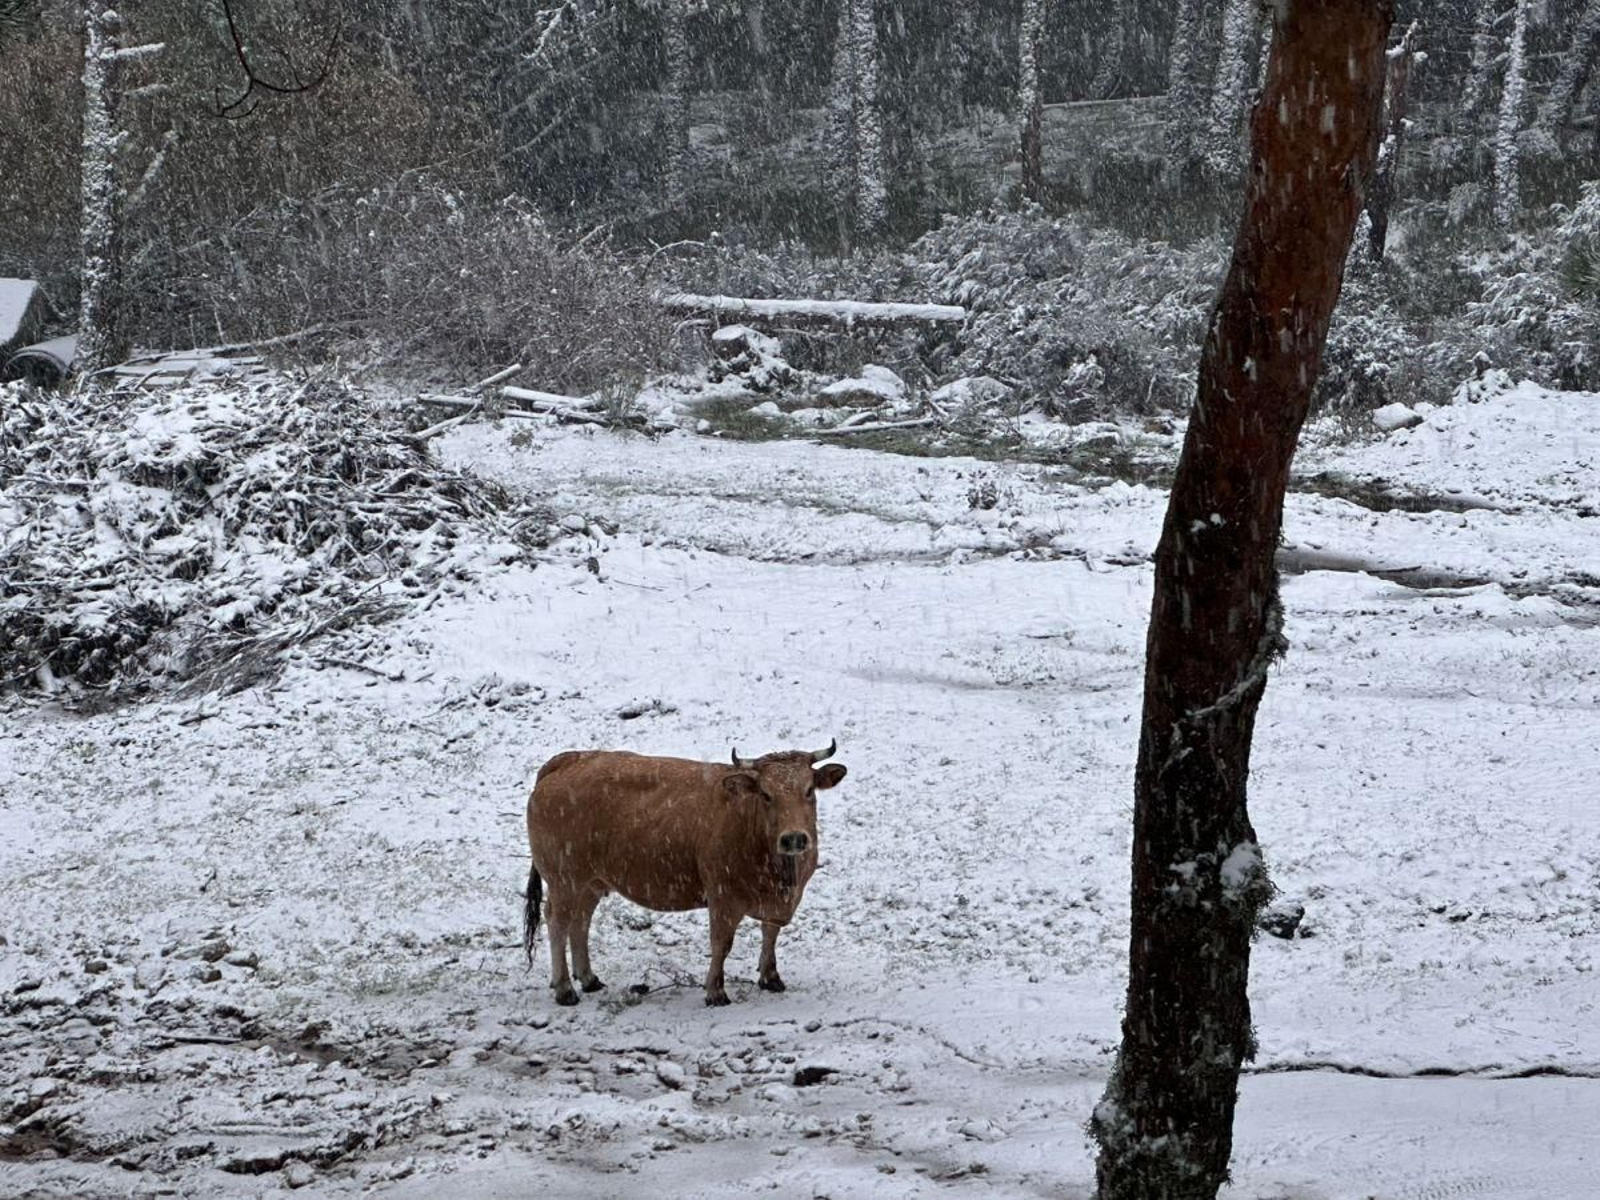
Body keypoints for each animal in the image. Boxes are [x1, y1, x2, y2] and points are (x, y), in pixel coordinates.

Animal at [523, 740, 848, 1007]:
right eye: (766, 795)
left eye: (809, 791)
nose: (794, 838)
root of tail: (570, 759)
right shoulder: (723, 897)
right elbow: (721, 943)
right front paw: (715, 991)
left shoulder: (778, 900)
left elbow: (770, 932)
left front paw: (770, 977)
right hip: (563, 879)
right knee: (558, 922)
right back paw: (565, 989)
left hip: (591, 881)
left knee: (580, 921)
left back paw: (588, 978)